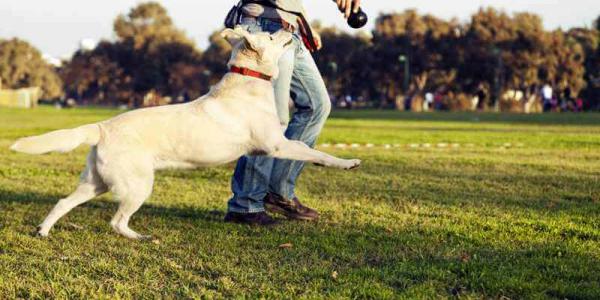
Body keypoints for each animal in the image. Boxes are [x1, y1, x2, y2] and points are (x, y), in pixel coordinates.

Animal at [9, 27, 360, 240]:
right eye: (271, 36)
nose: (290, 28)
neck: (248, 80)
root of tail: (102, 127)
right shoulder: (276, 145)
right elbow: (313, 150)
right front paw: (347, 163)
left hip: (95, 183)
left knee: (62, 202)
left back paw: (43, 231)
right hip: (138, 185)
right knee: (116, 222)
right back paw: (140, 237)